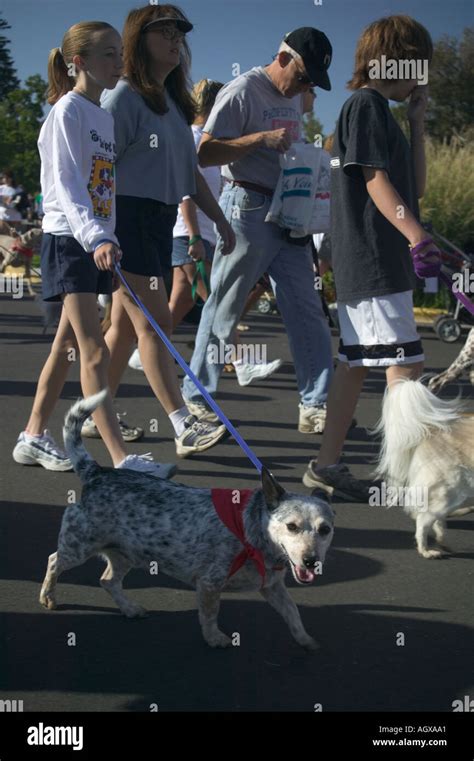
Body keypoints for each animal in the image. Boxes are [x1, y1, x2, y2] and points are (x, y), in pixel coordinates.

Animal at [40, 392, 336, 648]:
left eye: (325, 530)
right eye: (291, 527)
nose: (311, 561)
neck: (252, 532)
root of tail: (97, 472)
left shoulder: (273, 588)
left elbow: (293, 613)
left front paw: (306, 640)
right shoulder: (209, 584)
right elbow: (210, 615)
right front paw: (215, 638)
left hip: (125, 554)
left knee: (107, 580)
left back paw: (130, 608)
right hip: (78, 546)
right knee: (54, 561)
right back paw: (49, 596)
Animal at [374, 380, 474, 560]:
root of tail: (432, 430)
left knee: (436, 520)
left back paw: (443, 544)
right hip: (448, 490)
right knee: (423, 520)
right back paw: (427, 551)